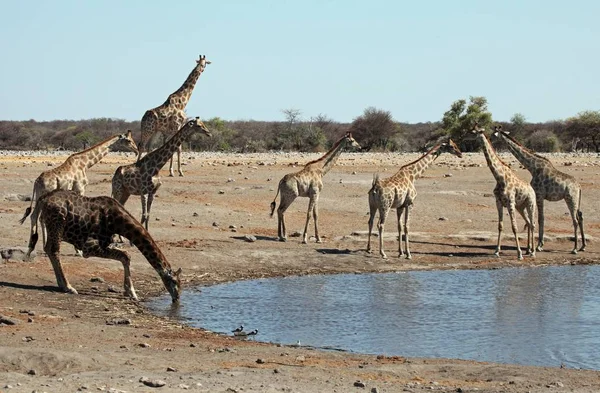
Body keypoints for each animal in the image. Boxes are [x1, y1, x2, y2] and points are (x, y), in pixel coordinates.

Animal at [25, 188, 180, 302]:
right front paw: (132, 293)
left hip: (52, 226)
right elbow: (125, 256)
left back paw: (61, 284)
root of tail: (43, 199)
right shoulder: (89, 247)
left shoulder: (104, 244)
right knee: (53, 250)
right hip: (57, 223)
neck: (119, 223)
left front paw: (130, 292)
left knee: (48, 249)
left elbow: (126, 256)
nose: (177, 298)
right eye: (174, 281)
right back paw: (68, 287)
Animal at [474, 125, 540, 260]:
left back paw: (533, 252)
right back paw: (529, 250)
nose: (474, 143)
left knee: (533, 224)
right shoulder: (498, 202)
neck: (499, 177)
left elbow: (514, 227)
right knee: (528, 223)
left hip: (530, 204)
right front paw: (496, 251)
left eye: (479, 133)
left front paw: (519, 254)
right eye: (473, 133)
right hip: (520, 207)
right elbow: (500, 226)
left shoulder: (510, 202)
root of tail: (532, 189)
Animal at [492, 126, 584, 254]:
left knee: (575, 220)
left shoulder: (539, 195)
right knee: (580, 217)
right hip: (576, 200)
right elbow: (536, 219)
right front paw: (533, 246)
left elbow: (540, 218)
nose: (489, 140)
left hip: (570, 199)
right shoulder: (538, 196)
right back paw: (582, 246)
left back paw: (574, 248)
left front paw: (539, 246)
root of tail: (579, 186)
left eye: (494, 134)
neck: (533, 168)